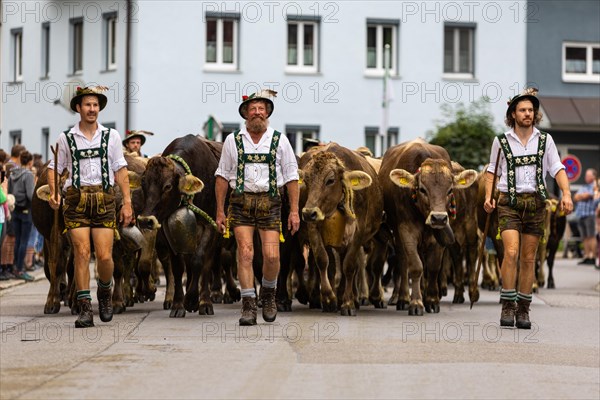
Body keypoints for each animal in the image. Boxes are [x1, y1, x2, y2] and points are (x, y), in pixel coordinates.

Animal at [298, 144, 382, 316]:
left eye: (330, 180)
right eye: (307, 180)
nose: (308, 212)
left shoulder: (358, 233)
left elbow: (349, 266)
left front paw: (348, 303)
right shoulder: (314, 229)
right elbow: (322, 260)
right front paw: (329, 299)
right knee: (332, 267)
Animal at [382, 140, 476, 316]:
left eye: (450, 190)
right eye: (422, 189)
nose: (438, 217)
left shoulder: (439, 236)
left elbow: (433, 267)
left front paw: (431, 300)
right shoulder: (406, 231)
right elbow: (415, 267)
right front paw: (416, 303)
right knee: (402, 262)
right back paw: (403, 298)